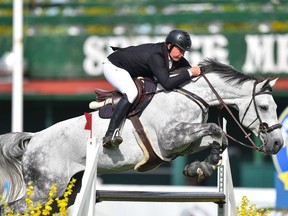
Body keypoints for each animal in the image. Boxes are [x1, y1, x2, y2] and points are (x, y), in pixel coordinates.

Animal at [0, 58, 284, 213]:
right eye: (264, 107)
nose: (277, 143)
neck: (194, 94)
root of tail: (34, 139)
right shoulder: (171, 139)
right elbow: (216, 131)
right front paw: (202, 167)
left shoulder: (184, 142)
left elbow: (217, 138)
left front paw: (199, 168)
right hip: (44, 188)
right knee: (12, 208)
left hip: (64, 191)